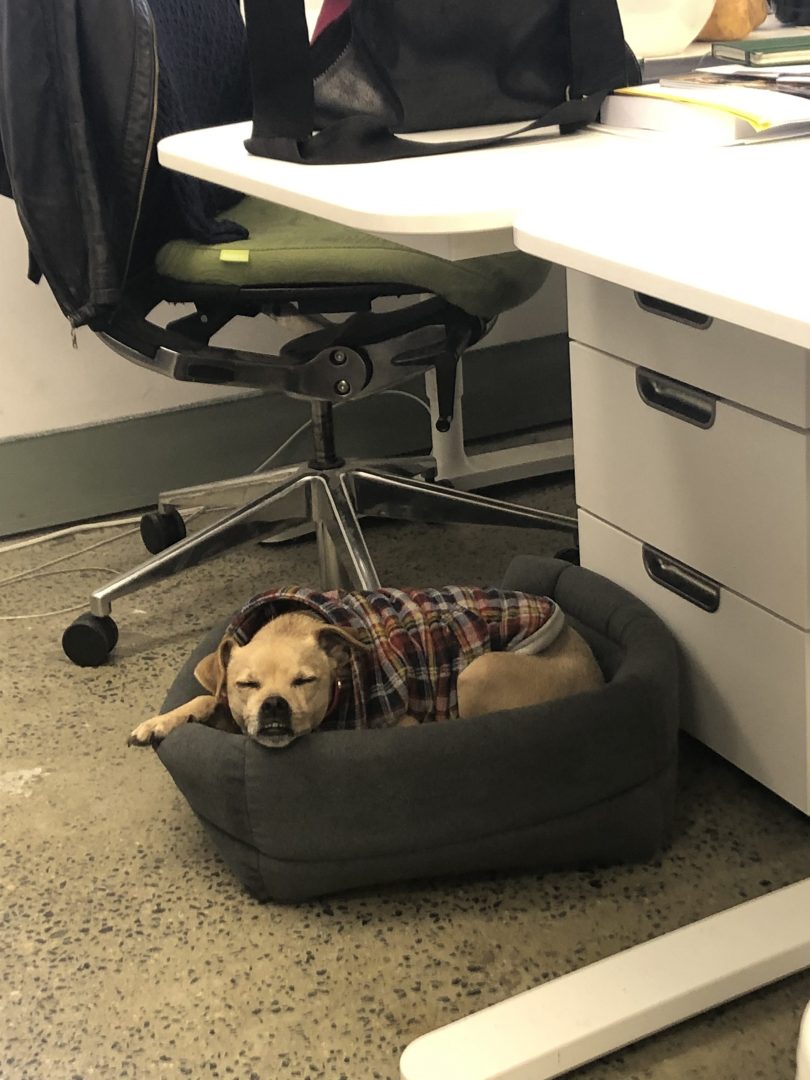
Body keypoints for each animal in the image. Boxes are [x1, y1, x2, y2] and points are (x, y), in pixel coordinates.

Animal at [130, 583, 604, 751]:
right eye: (246, 685)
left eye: (306, 680)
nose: (275, 706)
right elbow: (205, 700)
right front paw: (161, 721)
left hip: (479, 672)